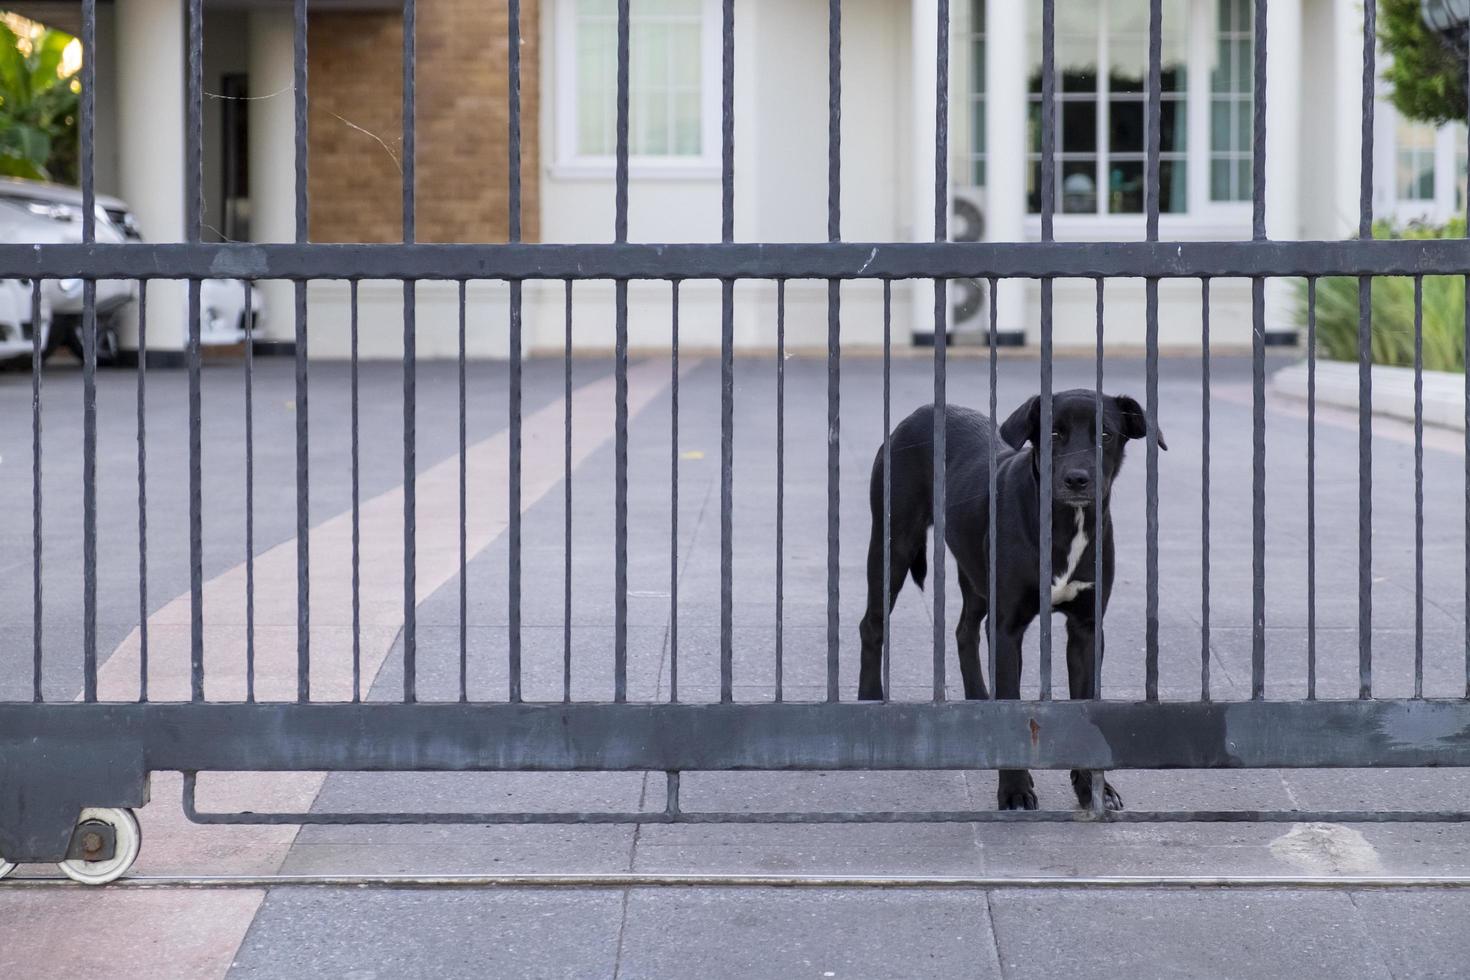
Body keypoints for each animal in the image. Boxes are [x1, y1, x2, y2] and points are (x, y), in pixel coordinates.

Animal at [858, 390, 1164, 811]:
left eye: (1105, 433)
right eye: (1053, 431)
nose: (1077, 479)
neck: (1066, 525)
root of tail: (918, 414)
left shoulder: (1086, 629)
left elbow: (1082, 704)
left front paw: (1092, 787)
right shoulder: (1007, 628)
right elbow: (1013, 700)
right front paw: (1015, 790)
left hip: (975, 572)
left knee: (964, 630)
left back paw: (979, 703)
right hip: (893, 547)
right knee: (871, 624)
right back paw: (868, 701)